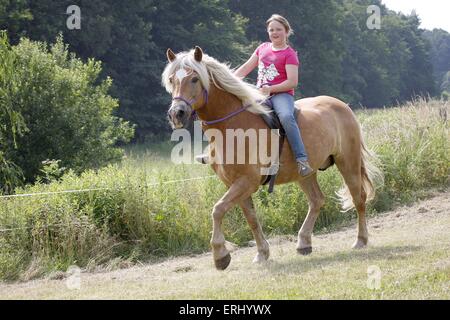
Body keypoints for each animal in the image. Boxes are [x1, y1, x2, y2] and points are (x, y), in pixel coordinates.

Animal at [162, 45, 384, 270]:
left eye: (194, 79)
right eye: (171, 79)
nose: (176, 114)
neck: (231, 127)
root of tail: (342, 105)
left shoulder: (246, 182)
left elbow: (217, 210)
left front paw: (220, 255)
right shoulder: (235, 183)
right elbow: (250, 218)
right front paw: (262, 253)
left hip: (348, 162)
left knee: (358, 197)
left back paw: (360, 240)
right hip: (306, 173)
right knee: (317, 200)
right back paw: (303, 243)